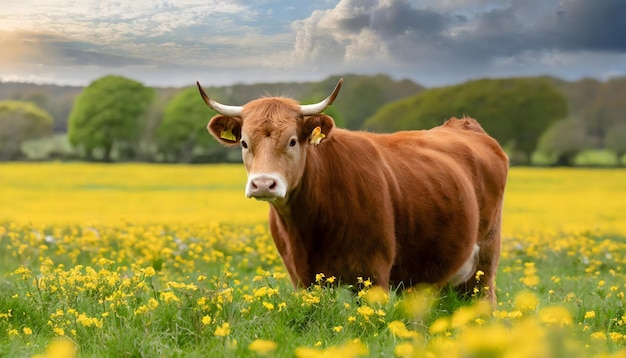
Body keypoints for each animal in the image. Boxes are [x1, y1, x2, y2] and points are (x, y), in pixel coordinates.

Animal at [196, 79, 508, 302]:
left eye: (293, 140)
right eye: (245, 142)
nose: (263, 183)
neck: (309, 227)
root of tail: (463, 125)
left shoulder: (373, 273)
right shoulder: (303, 278)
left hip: (484, 264)